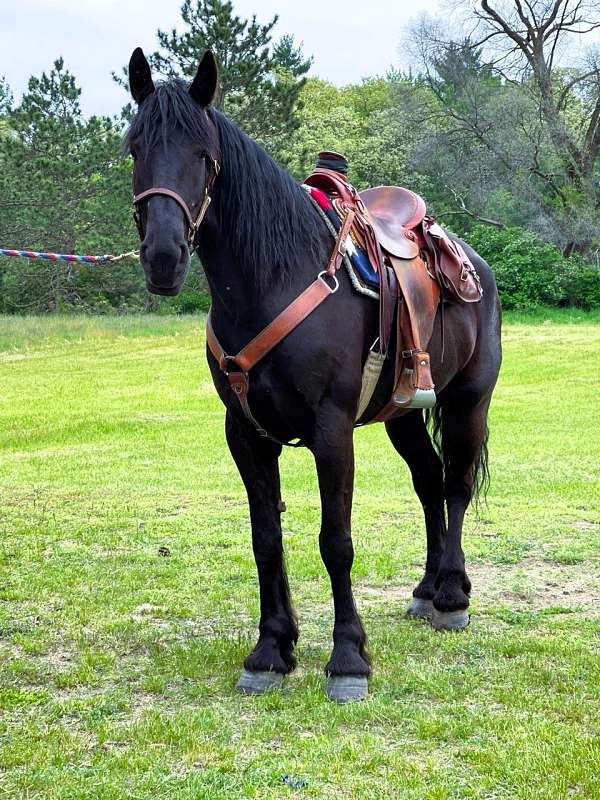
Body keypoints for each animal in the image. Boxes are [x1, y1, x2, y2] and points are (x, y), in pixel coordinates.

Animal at [125, 48, 502, 700]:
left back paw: (453, 597)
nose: (164, 257)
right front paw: (271, 650)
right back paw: (427, 591)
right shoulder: (245, 434)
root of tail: (473, 262)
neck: (275, 278)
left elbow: (336, 542)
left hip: (466, 403)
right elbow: (265, 540)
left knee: (454, 487)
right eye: (133, 148)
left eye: (204, 155)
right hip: (403, 415)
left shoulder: (331, 431)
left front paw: (348, 659)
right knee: (429, 484)